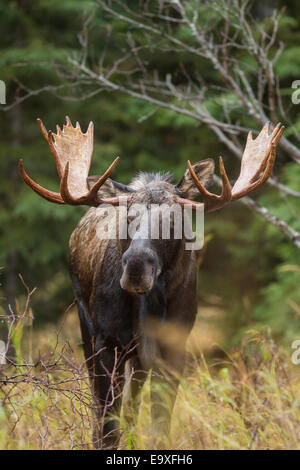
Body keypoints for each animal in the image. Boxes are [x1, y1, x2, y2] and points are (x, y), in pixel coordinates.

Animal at [19, 117, 284, 448]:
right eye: (127, 216)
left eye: (173, 220)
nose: (135, 268)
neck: (150, 305)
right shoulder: (107, 340)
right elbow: (108, 424)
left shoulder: (174, 344)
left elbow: (159, 424)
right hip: (85, 325)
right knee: (101, 403)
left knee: (133, 405)